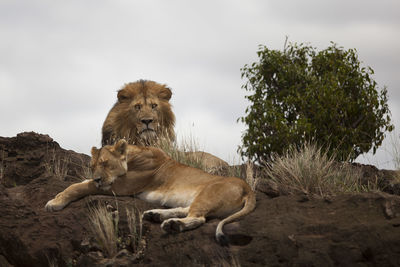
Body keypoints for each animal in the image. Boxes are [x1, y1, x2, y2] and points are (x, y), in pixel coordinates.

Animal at [44, 140, 256, 245]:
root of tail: (248, 188)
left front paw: (54, 202)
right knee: (186, 210)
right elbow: (81, 183)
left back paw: (172, 225)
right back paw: (156, 215)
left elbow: (79, 186)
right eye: (92, 165)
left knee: (198, 218)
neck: (131, 157)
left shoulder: (121, 187)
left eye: (104, 163)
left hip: (207, 194)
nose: (97, 178)